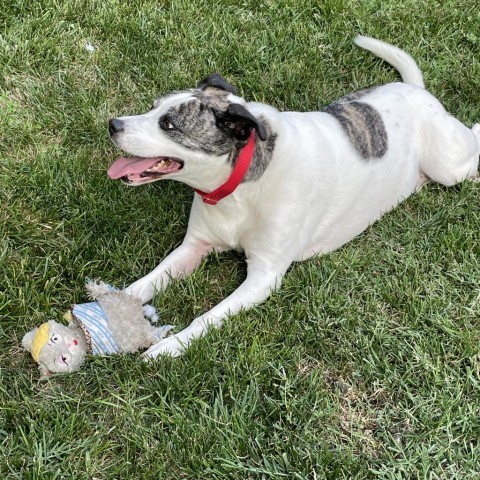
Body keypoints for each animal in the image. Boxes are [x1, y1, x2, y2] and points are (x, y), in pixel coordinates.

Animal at [108, 36, 480, 356]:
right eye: (152, 108)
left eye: (169, 125)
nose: (113, 124)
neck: (241, 187)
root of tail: (416, 90)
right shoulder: (193, 247)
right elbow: (141, 285)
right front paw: (109, 310)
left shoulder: (263, 277)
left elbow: (207, 318)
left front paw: (167, 349)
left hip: (449, 166)